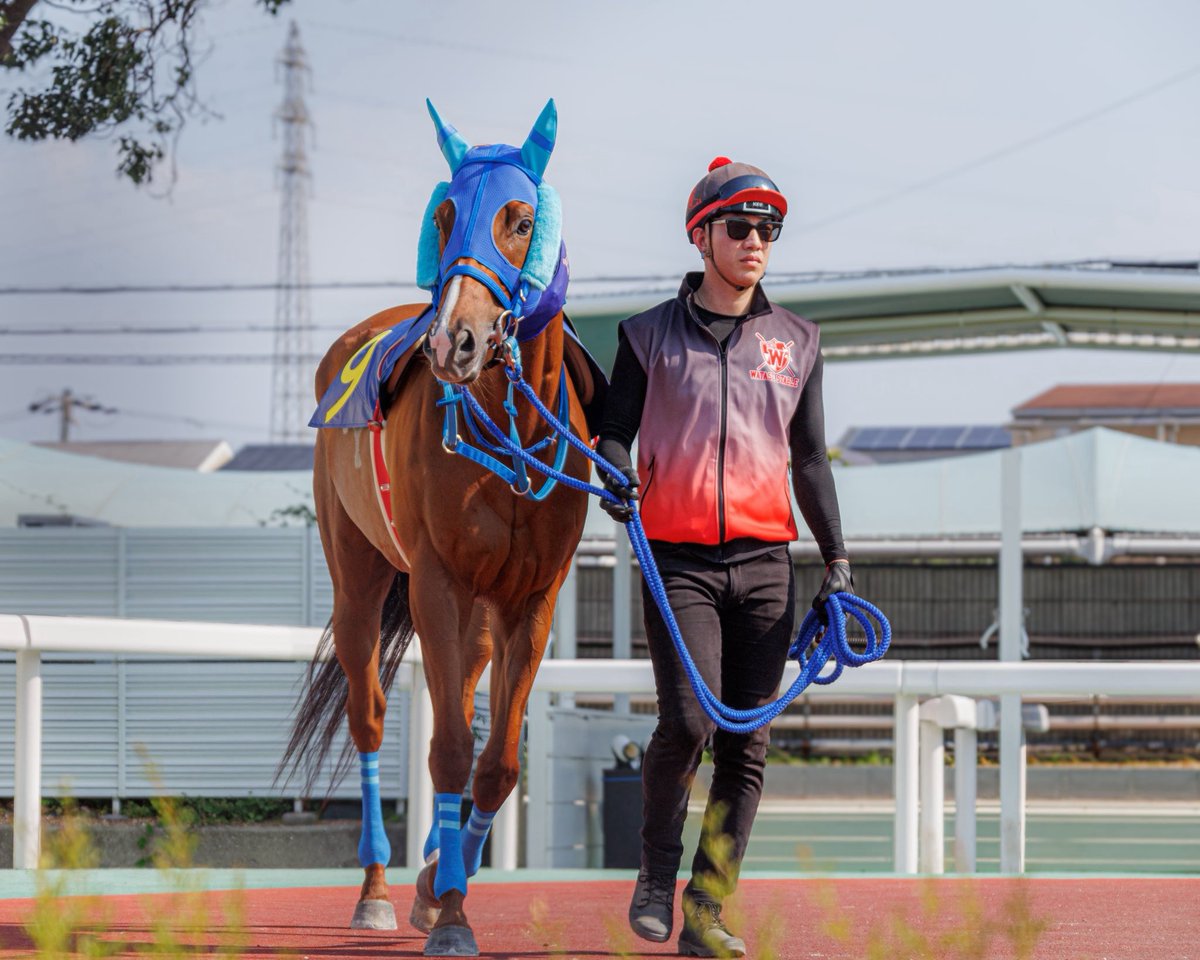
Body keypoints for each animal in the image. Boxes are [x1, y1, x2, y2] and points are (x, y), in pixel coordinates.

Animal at [280, 99, 604, 957]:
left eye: (520, 218)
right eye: (446, 215)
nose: (453, 339)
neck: (511, 428)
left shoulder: (532, 600)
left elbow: (496, 760)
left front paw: (444, 888)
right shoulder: (437, 580)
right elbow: (451, 750)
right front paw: (452, 912)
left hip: (477, 615)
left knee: (459, 693)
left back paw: (431, 870)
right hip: (361, 582)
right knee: (369, 717)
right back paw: (375, 891)